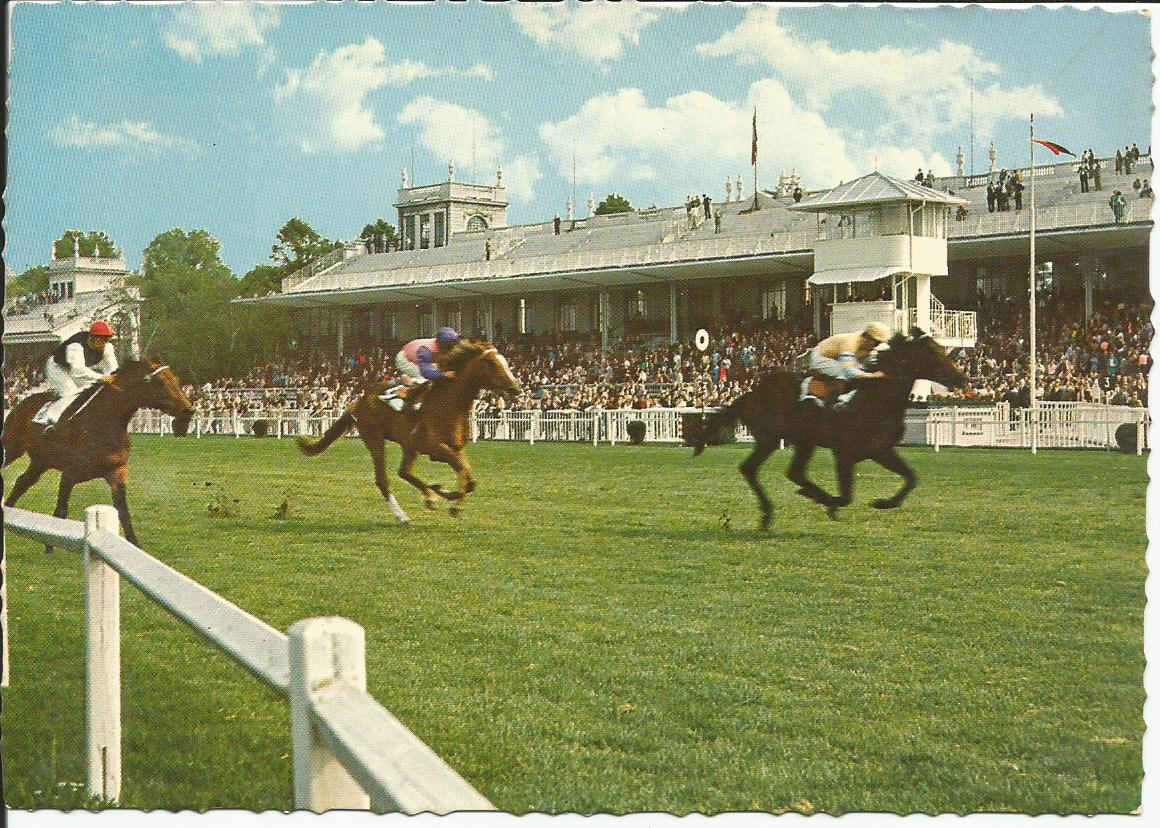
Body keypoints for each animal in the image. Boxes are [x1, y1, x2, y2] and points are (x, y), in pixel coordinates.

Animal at [2, 357, 194, 545]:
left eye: (176, 380)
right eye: (160, 382)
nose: (189, 411)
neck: (104, 422)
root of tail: (21, 403)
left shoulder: (116, 472)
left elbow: (124, 514)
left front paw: (134, 544)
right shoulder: (69, 474)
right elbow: (61, 511)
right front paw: (50, 547)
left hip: (41, 461)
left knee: (22, 482)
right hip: (12, 449)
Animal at [294, 336, 522, 521]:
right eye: (491, 363)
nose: (516, 389)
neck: (449, 403)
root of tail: (357, 403)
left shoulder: (454, 447)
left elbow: (468, 476)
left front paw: (449, 498)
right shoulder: (433, 446)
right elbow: (464, 474)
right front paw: (450, 499)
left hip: (408, 444)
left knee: (404, 472)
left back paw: (431, 496)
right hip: (374, 438)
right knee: (383, 479)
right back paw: (404, 515)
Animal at [686, 329, 969, 528]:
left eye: (942, 349)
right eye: (932, 353)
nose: (962, 378)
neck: (874, 397)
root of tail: (751, 393)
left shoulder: (881, 450)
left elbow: (911, 478)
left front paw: (884, 502)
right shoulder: (844, 453)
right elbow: (846, 496)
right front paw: (830, 503)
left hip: (803, 441)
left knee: (793, 472)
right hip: (771, 438)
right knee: (751, 469)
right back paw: (773, 511)